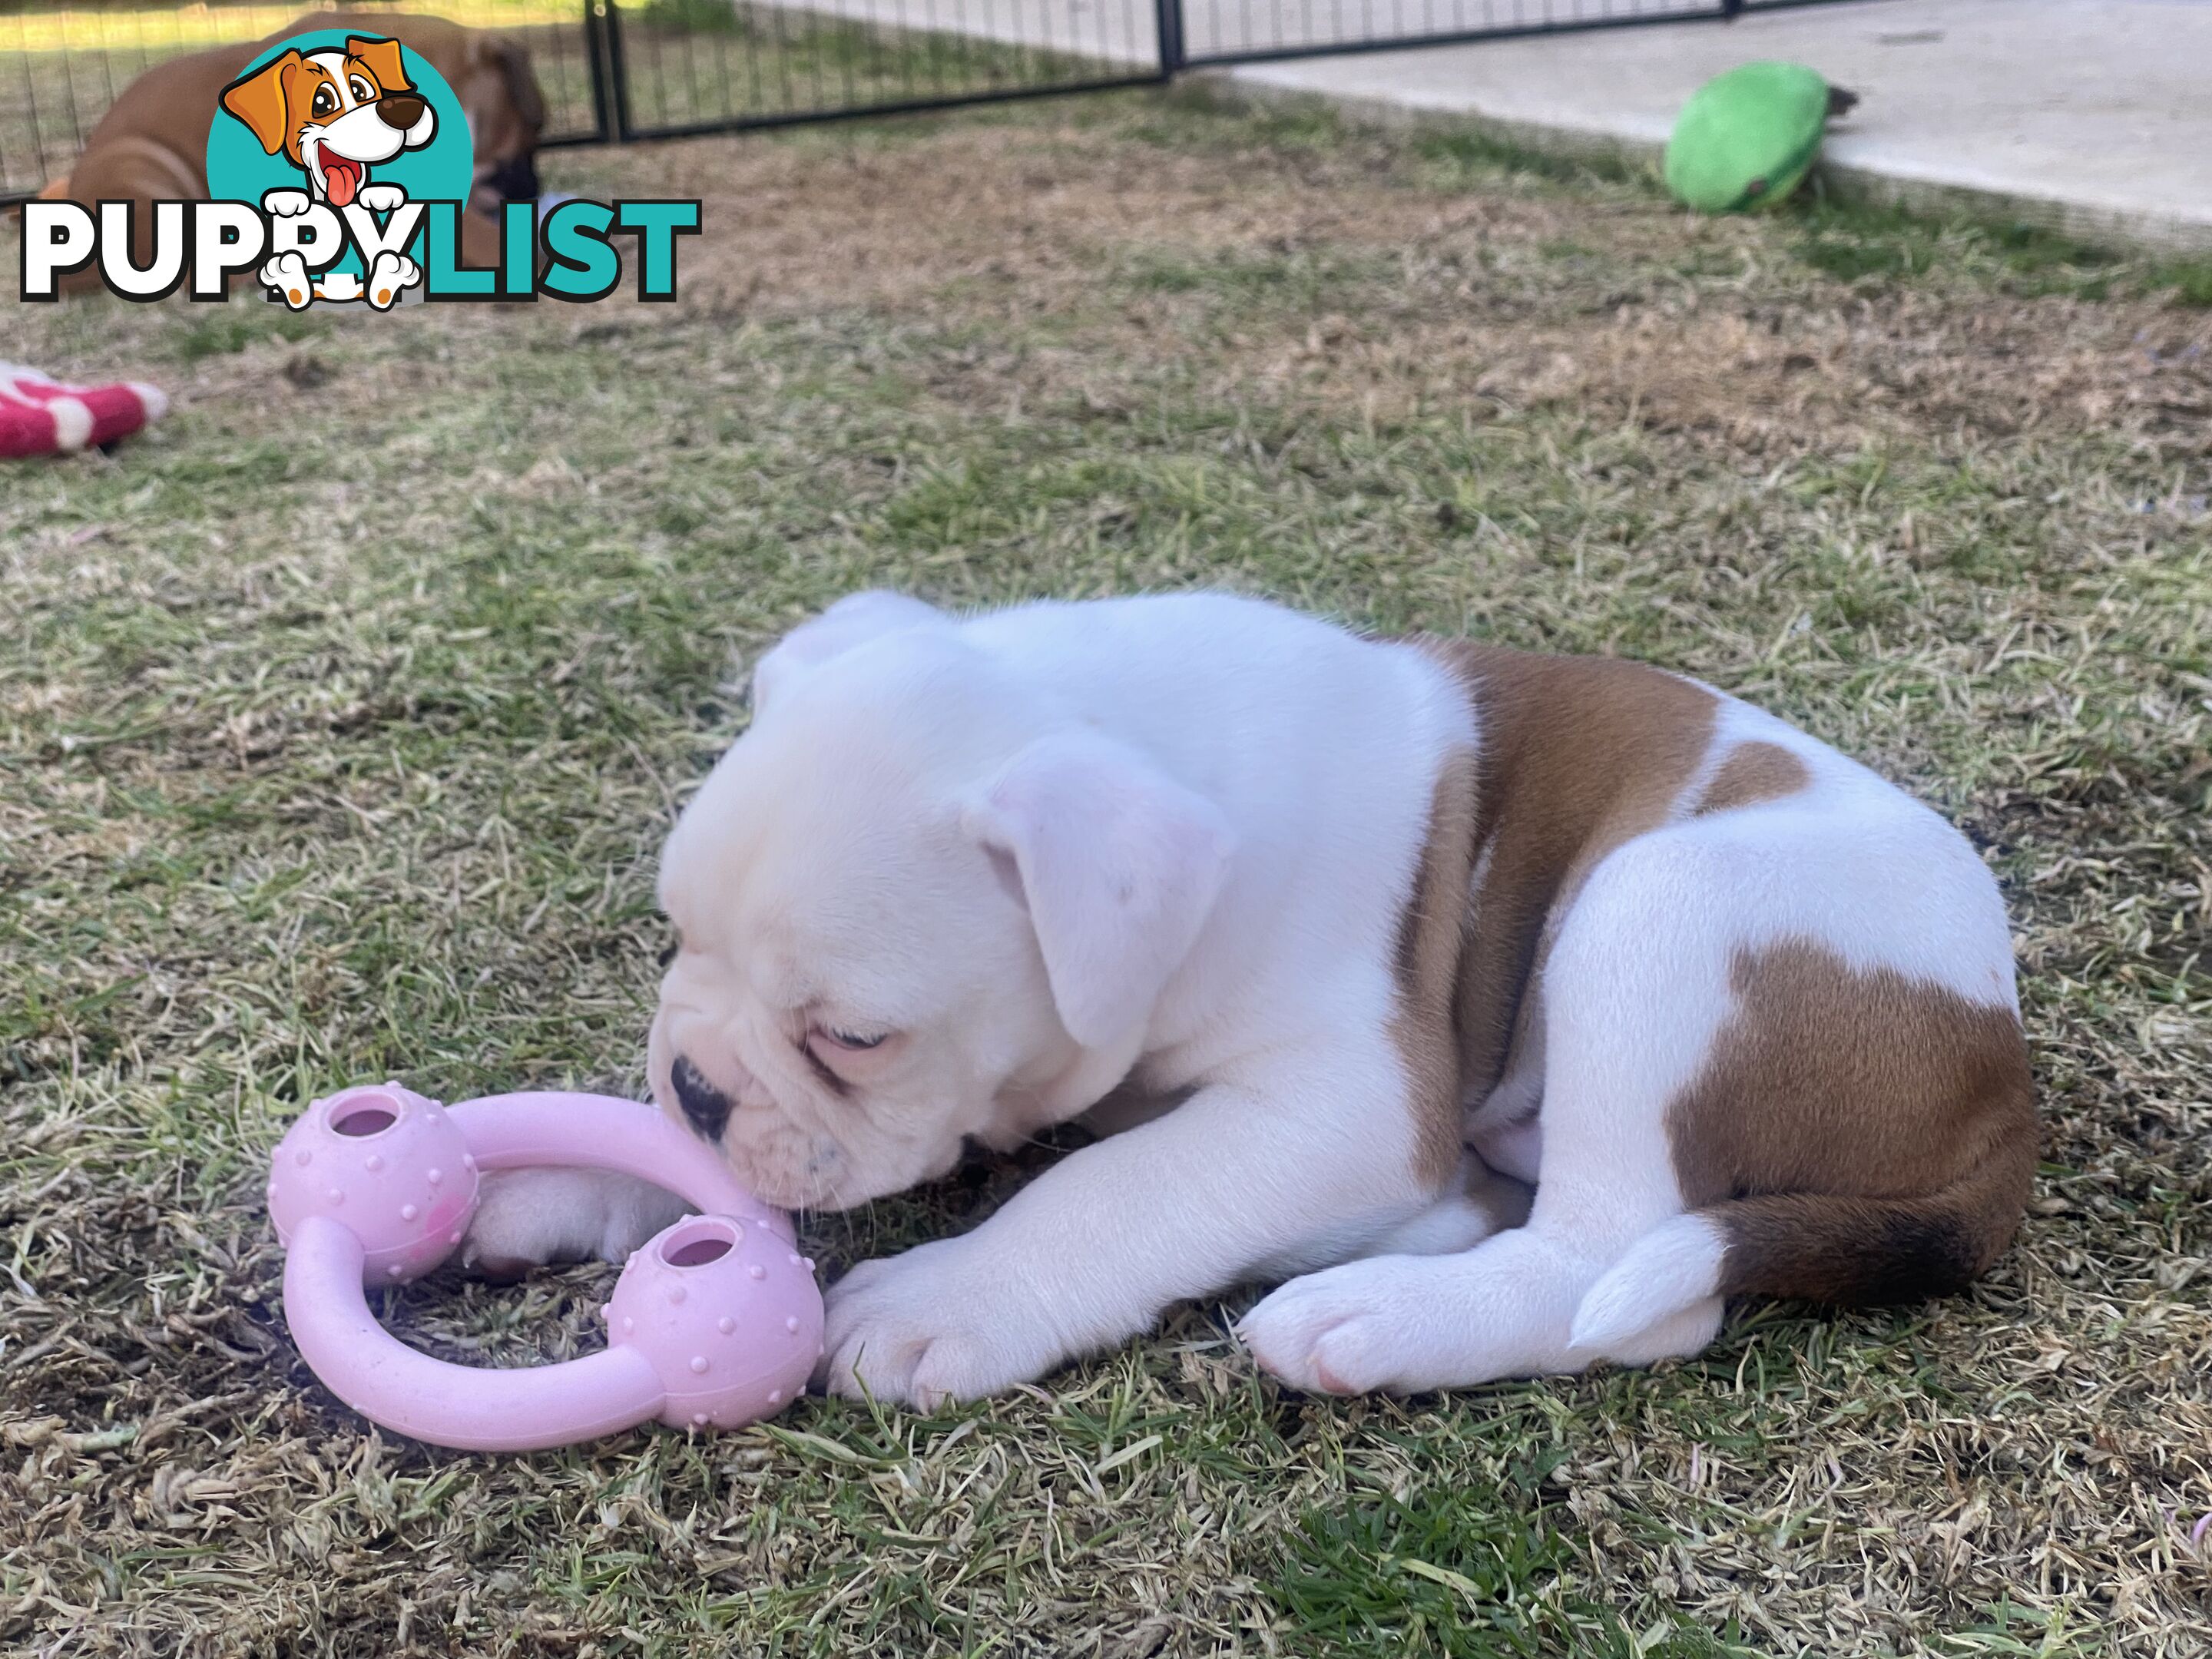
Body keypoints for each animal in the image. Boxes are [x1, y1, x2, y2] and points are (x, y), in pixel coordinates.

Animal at [466, 592, 2035, 1406]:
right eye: (674, 939)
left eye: (855, 1037)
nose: (696, 1086)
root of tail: (2001, 1078)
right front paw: (555, 1178)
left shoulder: (1344, 1101)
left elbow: (1116, 1187)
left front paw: (949, 1291)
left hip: (1653, 911)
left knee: (1618, 1270)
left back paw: (1381, 1313)